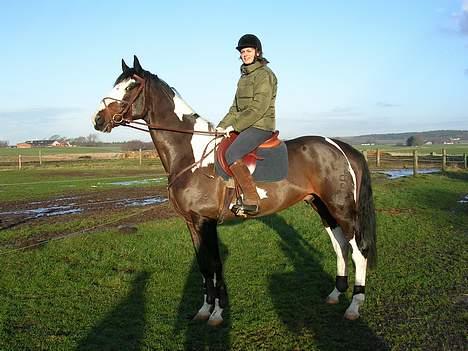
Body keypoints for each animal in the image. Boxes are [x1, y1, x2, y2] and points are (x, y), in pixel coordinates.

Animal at [91, 55, 376, 328]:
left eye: (131, 86)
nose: (97, 119)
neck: (190, 153)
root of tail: (341, 147)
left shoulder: (205, 221)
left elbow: (215, 265)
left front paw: (217, 313)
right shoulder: (192, 223)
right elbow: (204, 266)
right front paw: (204, 310)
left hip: (341, 208)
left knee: (358, 250)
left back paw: (354, 306)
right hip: (322, 206)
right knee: (340, 246)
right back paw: (335, 294)